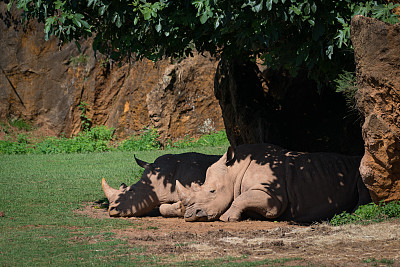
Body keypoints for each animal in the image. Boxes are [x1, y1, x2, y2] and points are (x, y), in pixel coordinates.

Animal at [178, 144, 372, 224]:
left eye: (212, 191)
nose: (190, 215)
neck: (234, 171)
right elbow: (243, 198)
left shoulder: (272, 195)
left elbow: (242, 198)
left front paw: (227, 218)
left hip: (360, 169)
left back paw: (353, 215)